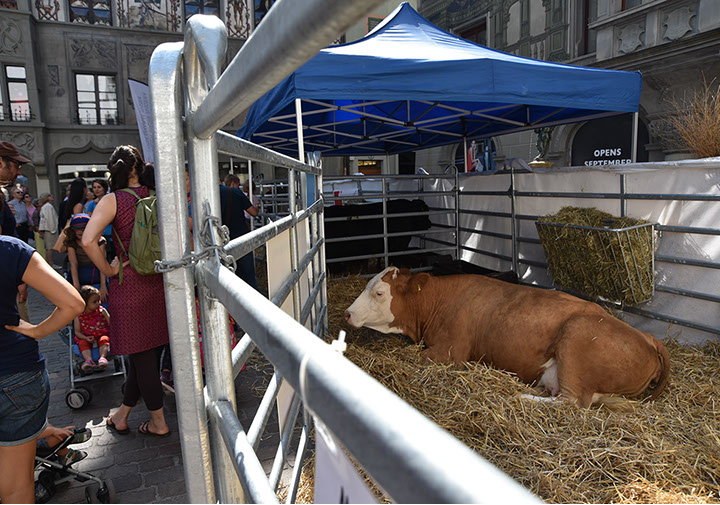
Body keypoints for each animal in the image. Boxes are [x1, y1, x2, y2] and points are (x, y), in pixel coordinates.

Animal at [344, 267, 670, 407]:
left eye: (379, 292)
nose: (347, 313)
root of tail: (648, 337)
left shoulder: (450, 351)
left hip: (576, 340)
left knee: (573, 402)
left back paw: (521, 395)